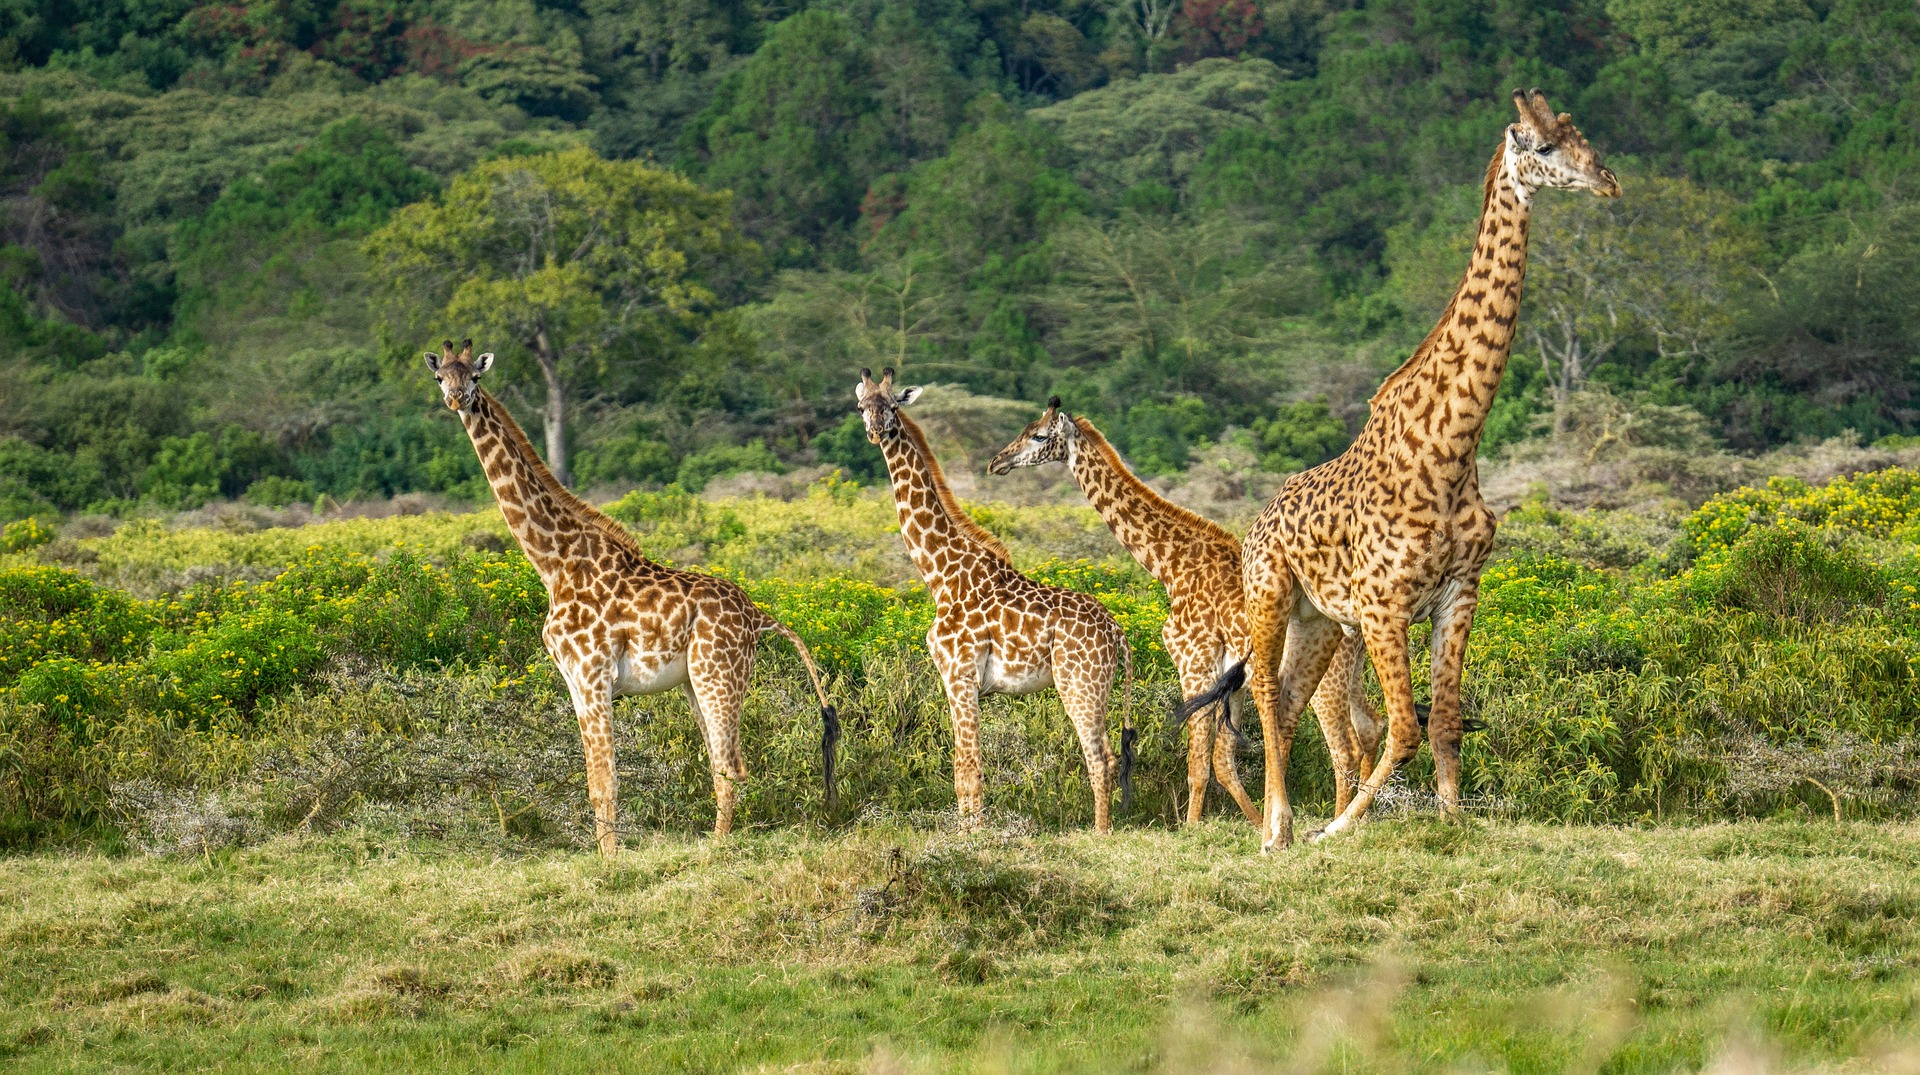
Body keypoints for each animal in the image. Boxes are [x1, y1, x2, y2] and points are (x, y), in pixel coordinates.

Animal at [428, 339, 840, 852]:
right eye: (440, 377)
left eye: (476, 377)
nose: (456, 399)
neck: (555, 564)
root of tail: (760, 615)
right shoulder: (575, 682)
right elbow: (594, 782)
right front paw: (607, 854)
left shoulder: (593, 674)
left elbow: (605, 782)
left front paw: (612, 859)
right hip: (694, 681)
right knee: (722, 765)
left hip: (718, 673)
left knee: (731, 767)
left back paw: (716, 849)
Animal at [860, 368, 1136, 833]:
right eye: (863, 405)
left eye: (894, 406)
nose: (876, 430)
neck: (941, 574)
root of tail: (1118, 633)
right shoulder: (955, 681)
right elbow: (961, 766)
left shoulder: (961, 675)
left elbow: (968, 767)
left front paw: (973, 835)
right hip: (1094, 685)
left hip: (1079, 683)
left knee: (1101, 758)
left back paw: (1101, 832)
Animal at [983, 399, 1390, 825]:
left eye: (1038, 435)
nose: (997, 462)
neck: (1170, 565)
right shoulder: (1231, 681)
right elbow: (1224, 763)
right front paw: (1256, 822)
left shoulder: (1193, 664)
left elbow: (1199, 765)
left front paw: (1194, 827)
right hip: (1351, 672)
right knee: (1371, 728)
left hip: (1326, 678)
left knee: (1344, 750)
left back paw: (1341, 821)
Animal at [1182, 92, 1620, 848]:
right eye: (1541, 146)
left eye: (1580, 136)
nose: (1608, 182)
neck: (1451, 452)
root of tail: (1257, 521)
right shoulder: (1385, 606)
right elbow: (1402, 730)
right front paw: (1339, 828)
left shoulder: (1459, 593)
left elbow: (1441, 723)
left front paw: (1449, 822)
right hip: (1270, 594)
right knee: (1265, 694)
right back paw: (1278, 828)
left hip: (1321, 621)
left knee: (1290, 702)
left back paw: (1285, 828)